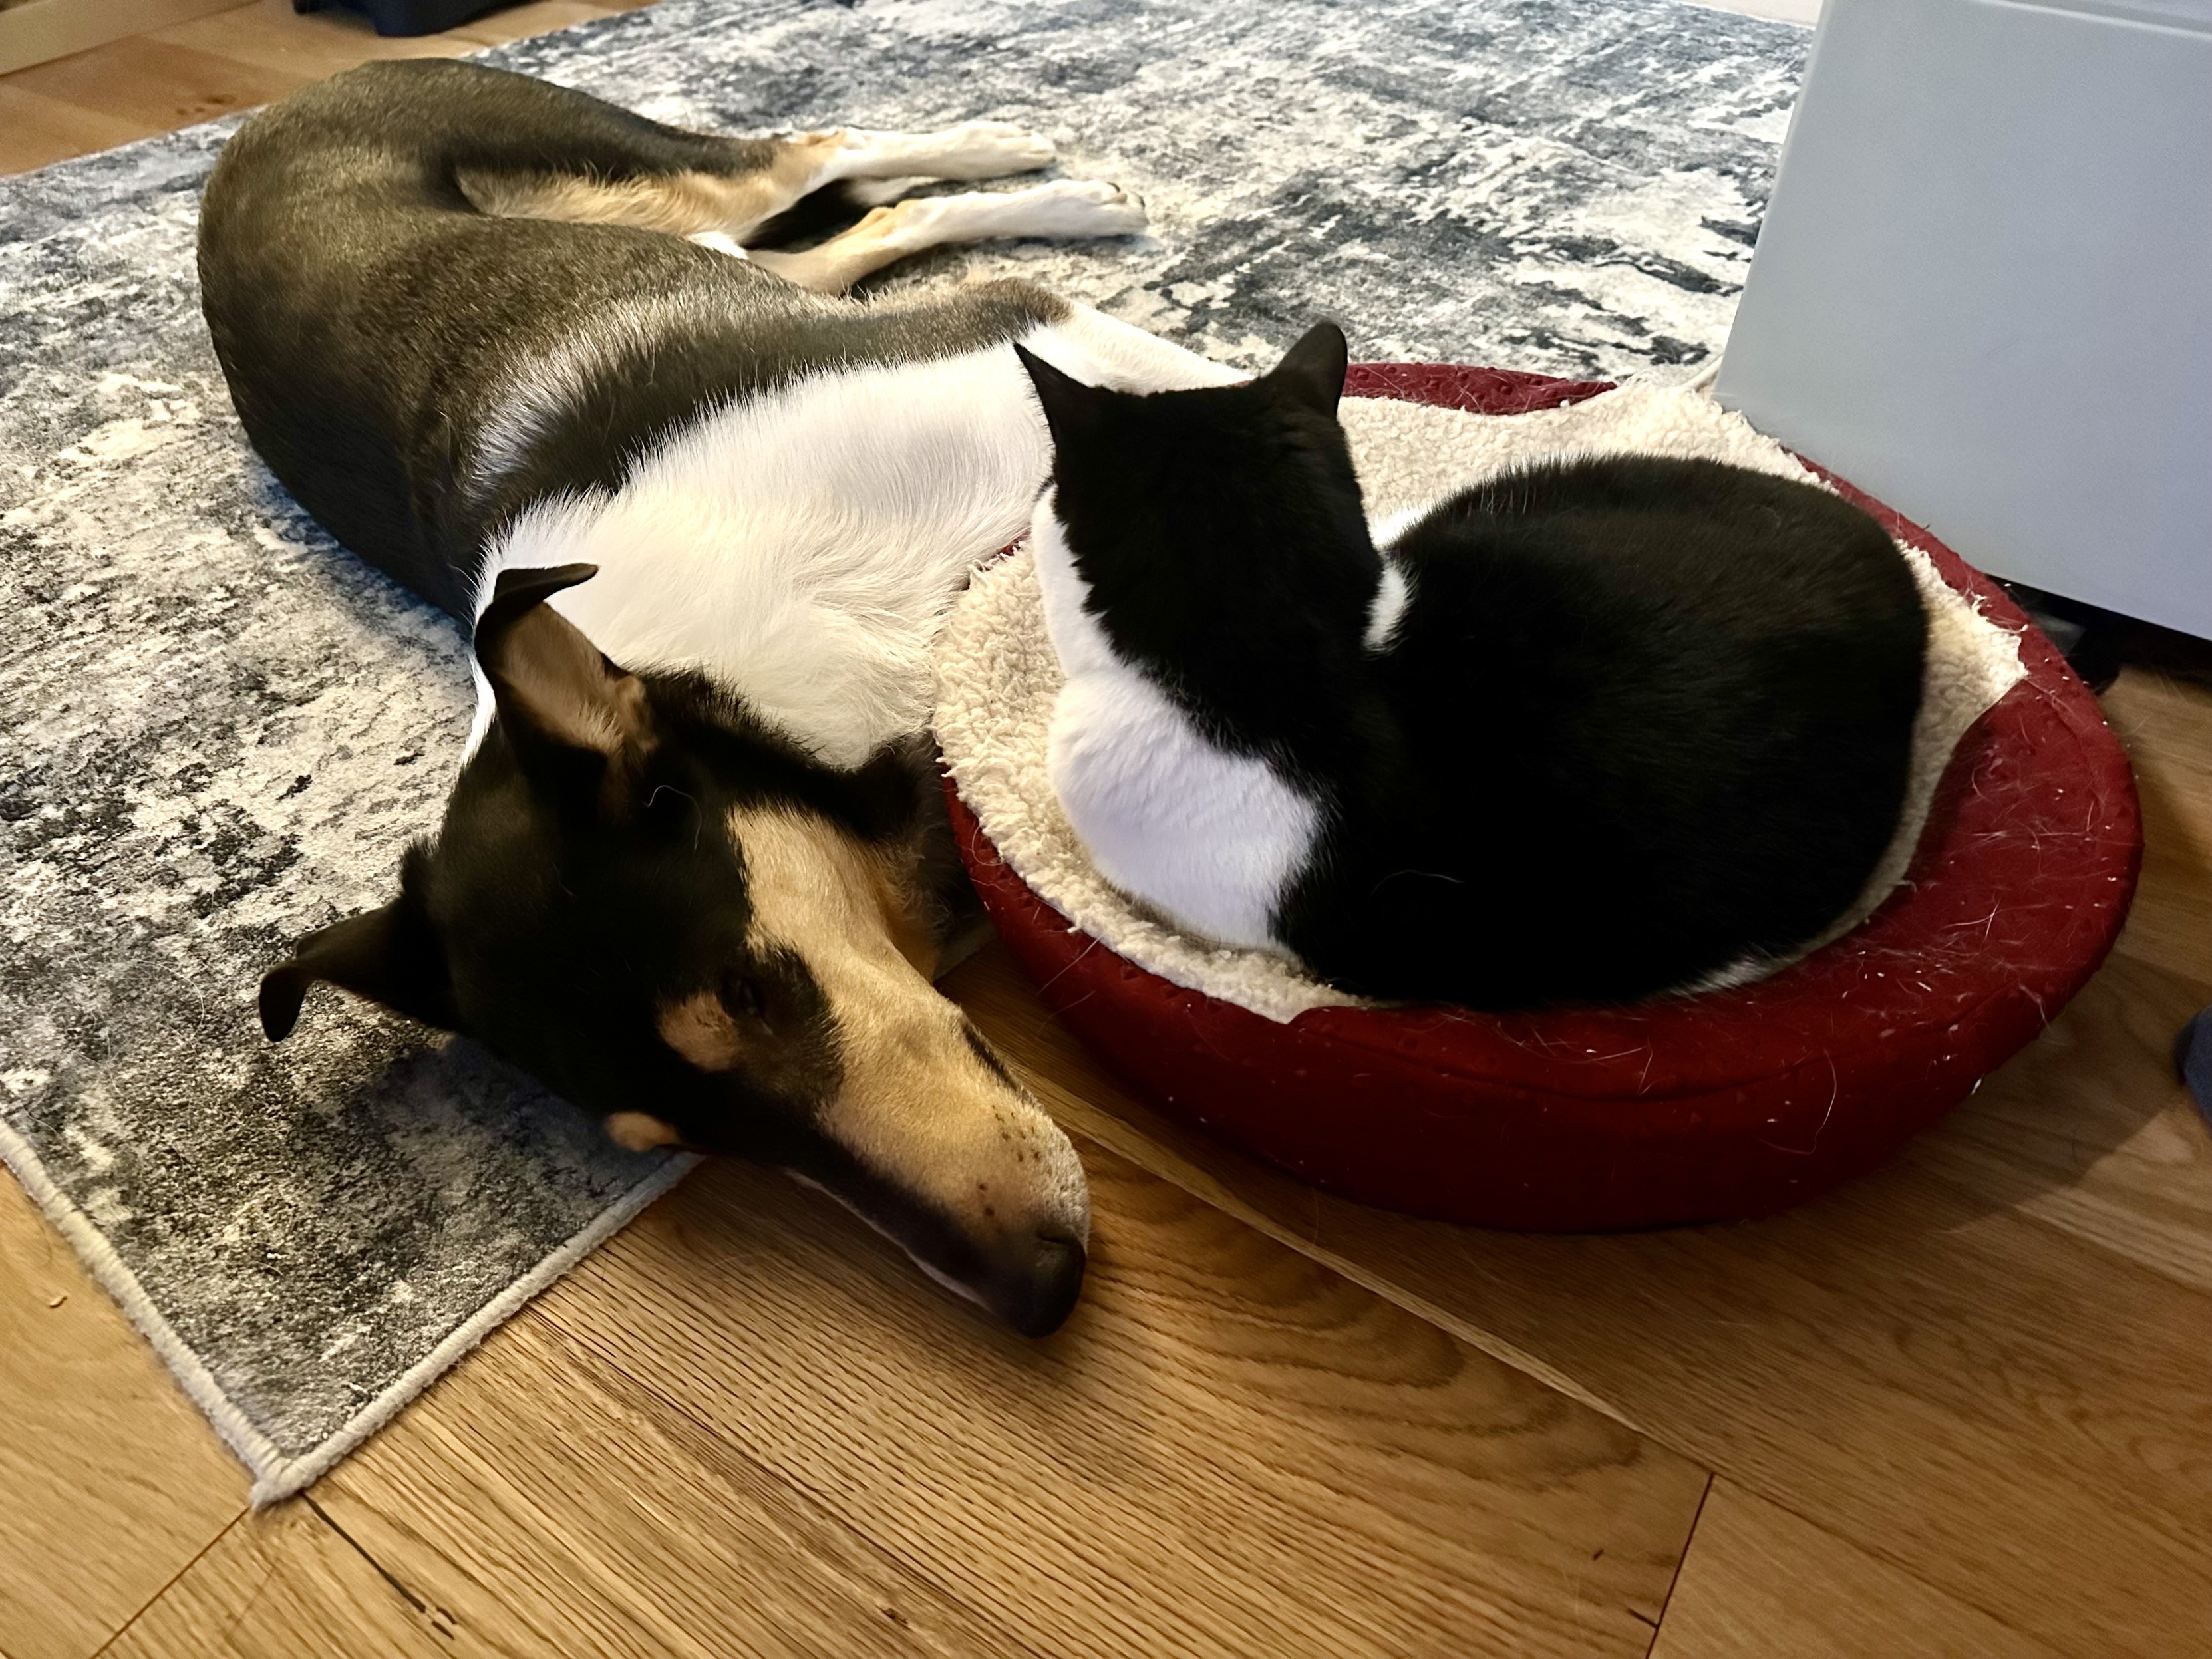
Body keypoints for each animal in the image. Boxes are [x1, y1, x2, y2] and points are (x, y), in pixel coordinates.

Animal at [203, 59, 1265, 1344]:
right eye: (677, 1140)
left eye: (752, 989)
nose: (1041, 1291)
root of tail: (275, 107)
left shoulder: (1025, 349)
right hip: (705, 240)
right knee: (843, 232)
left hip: (652, 170)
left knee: (823, 149)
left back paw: (1039, 166)